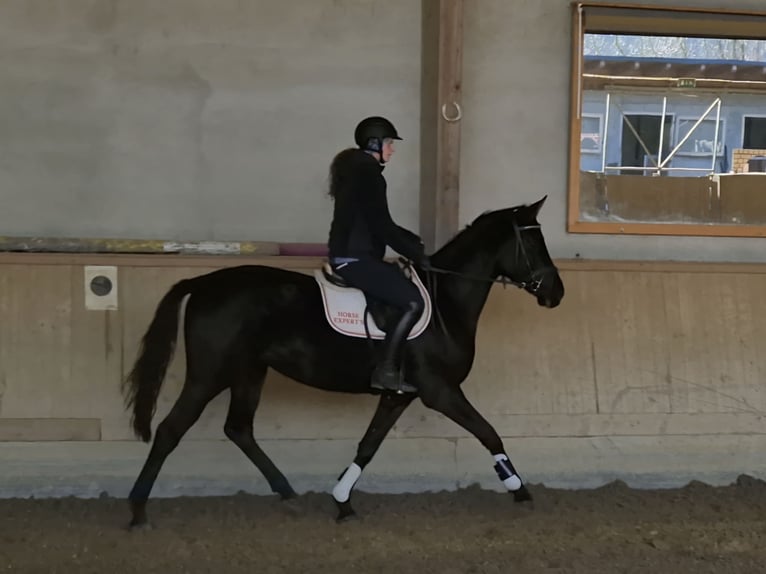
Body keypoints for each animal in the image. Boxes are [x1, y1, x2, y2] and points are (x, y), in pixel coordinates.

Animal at [124, 197, 564, 528]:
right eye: (534, 245)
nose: (556, 293)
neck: (445, 302)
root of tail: (201, 284)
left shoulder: (399, 395)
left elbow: (368, 445)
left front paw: (342, 502)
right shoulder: (440, 391)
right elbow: (489, 433)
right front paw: (519, 489)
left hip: (250, 371)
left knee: (239, 429)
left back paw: (289, 494)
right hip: (210, 374)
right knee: (171, 430)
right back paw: (138, 511)